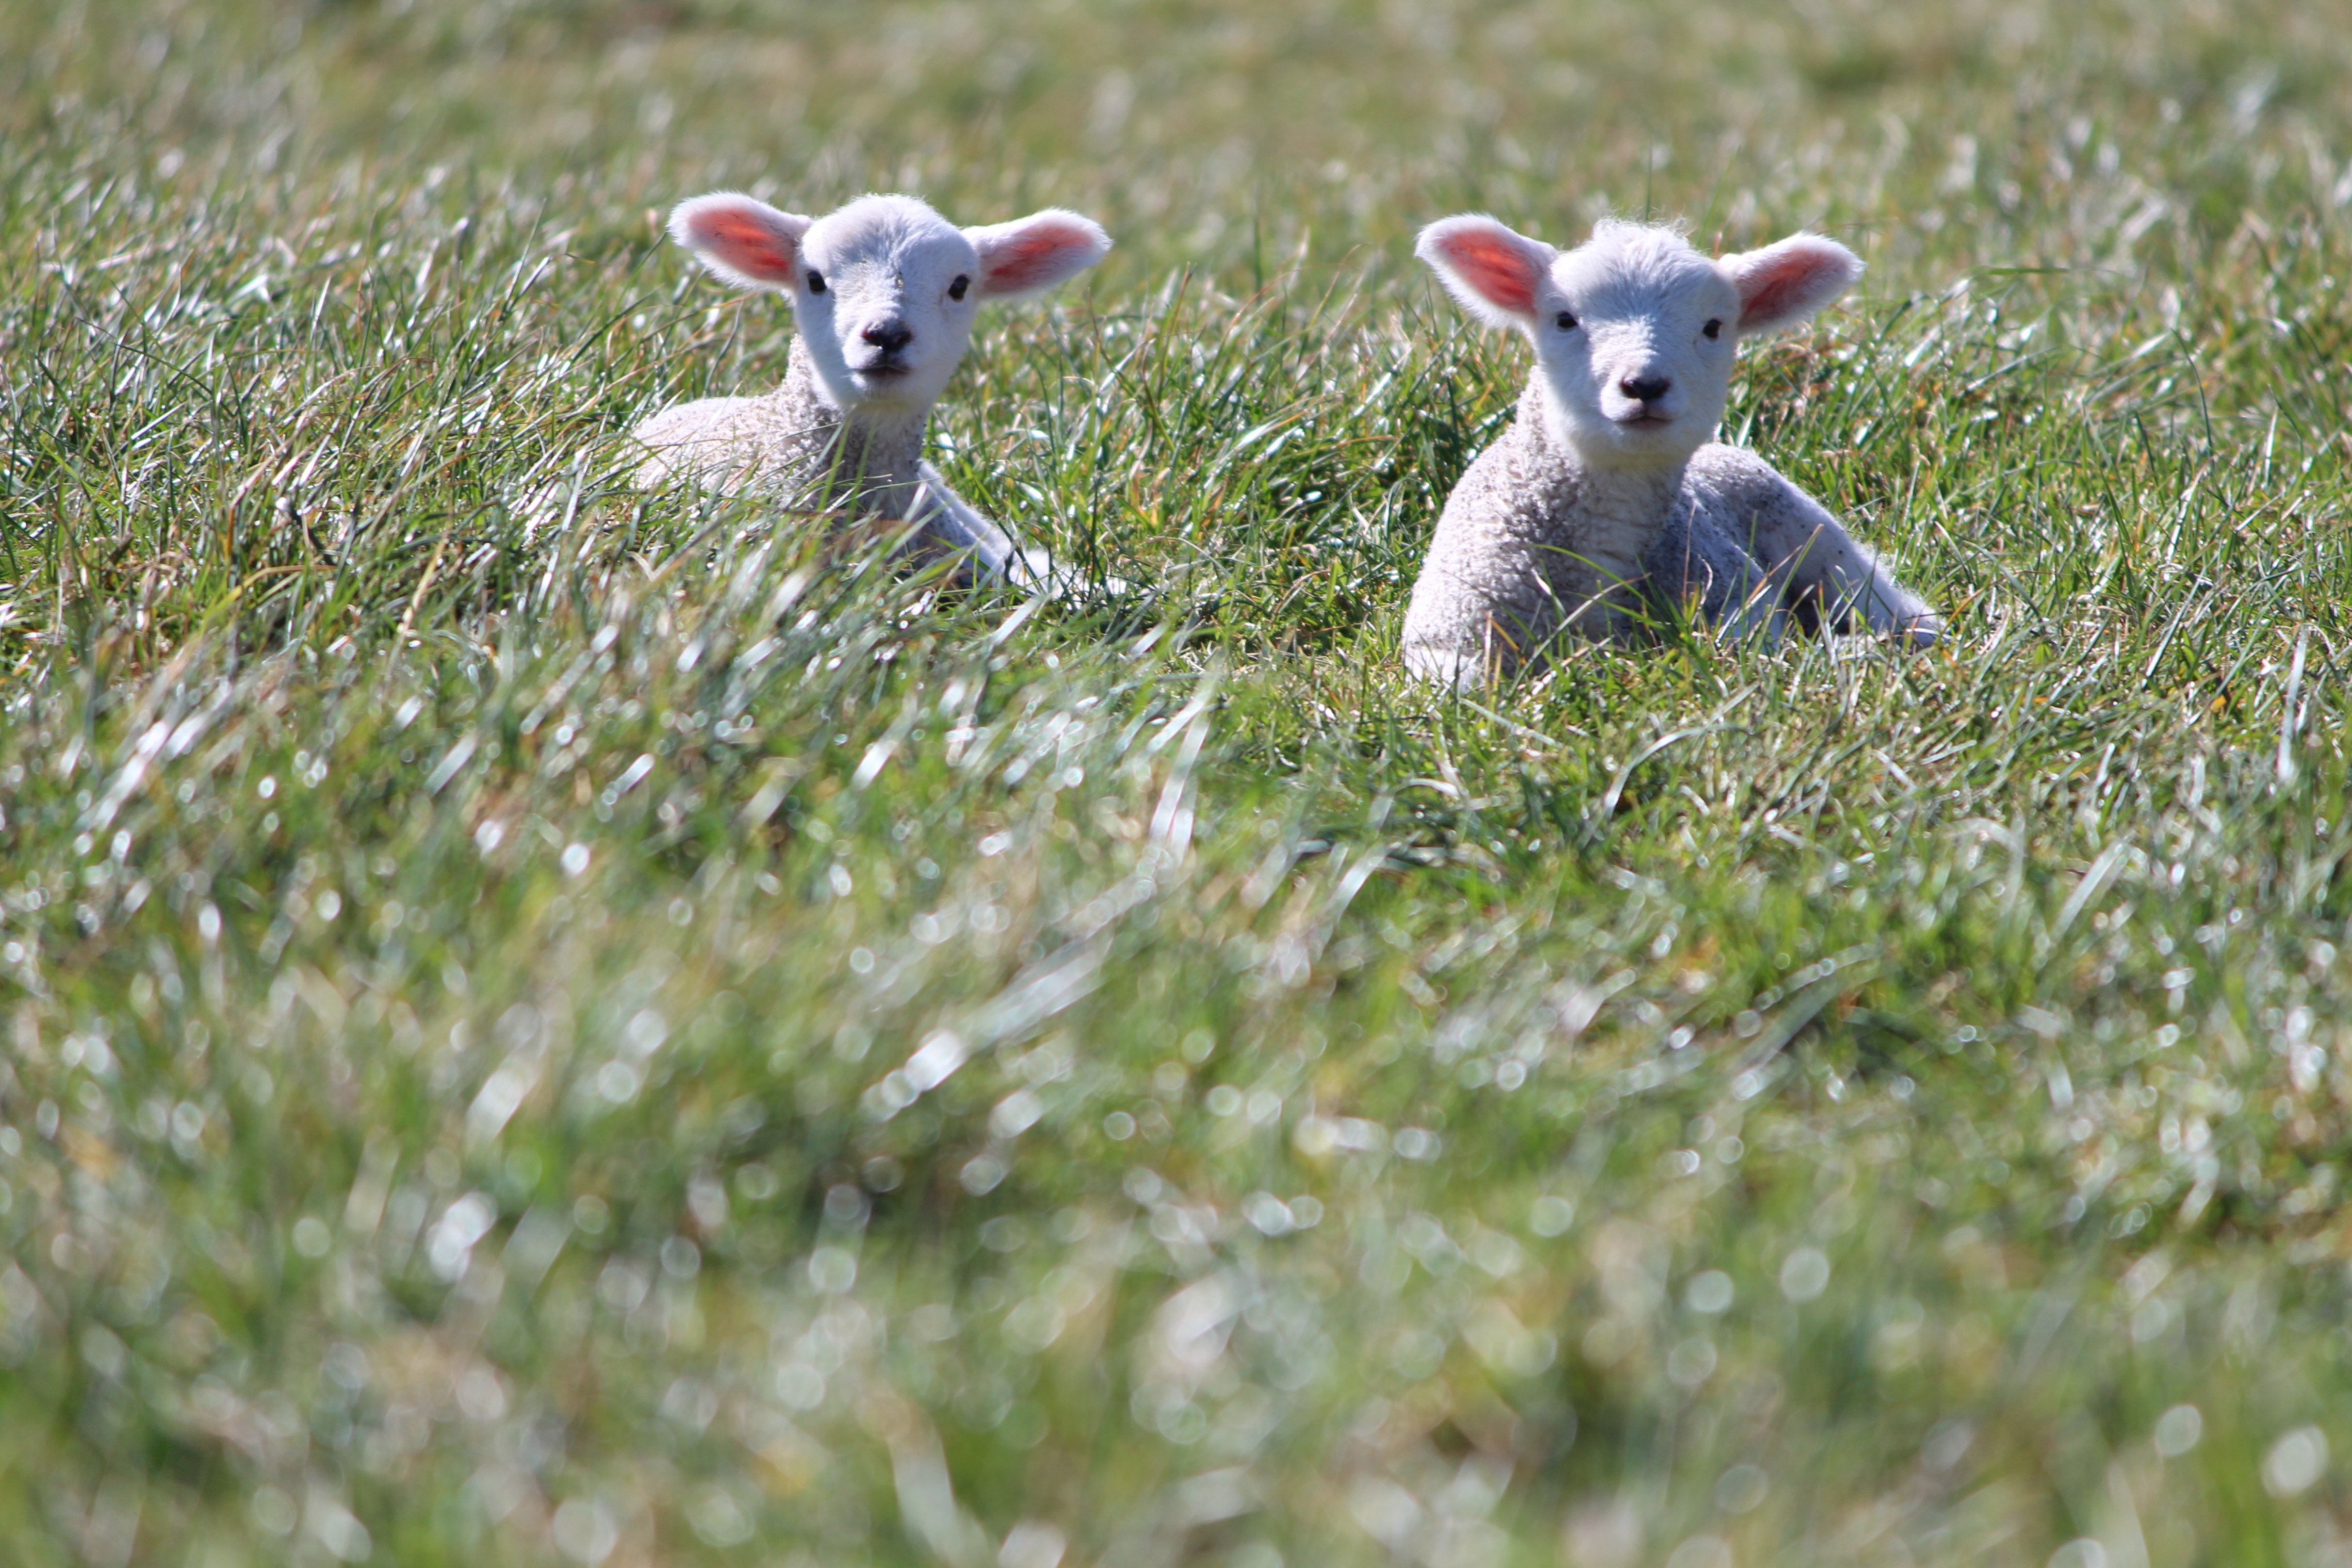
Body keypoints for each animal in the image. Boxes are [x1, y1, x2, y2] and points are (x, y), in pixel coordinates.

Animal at [1400, 215, 1940, 686]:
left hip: (1819, 542)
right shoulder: (1446, 633)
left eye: (1714, 327)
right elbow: (1465, 686)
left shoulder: (1738, 607)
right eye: (1564, 320)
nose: (1644, 385)